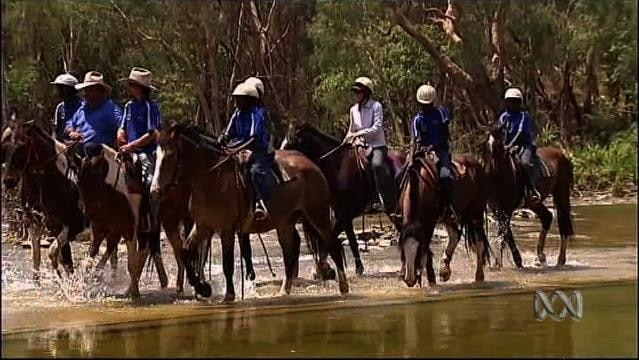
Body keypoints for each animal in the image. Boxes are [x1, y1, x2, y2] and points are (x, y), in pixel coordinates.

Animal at [151, 124, 350, 300]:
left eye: (170, 155)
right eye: (156, 155)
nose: (155, 190)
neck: (211, 178)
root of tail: (311, 165)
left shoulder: (226, 230)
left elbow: (227, 264)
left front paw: (229, 295)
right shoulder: (203, 226)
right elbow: (185, 252)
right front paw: (203, 288)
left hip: (317, 215)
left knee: (332, 245)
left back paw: (344, 287)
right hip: (285, 222)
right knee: (290, 251)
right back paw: (284, 291)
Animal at [282, 122, 408, 274]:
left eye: (290, 142)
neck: (337, 167)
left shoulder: (343, 216)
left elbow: (327, 240)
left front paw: (322, 269)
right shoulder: (344, 216)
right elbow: (352, 241)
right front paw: (358, 268)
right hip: (393, 210)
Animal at [398, 151, 492, 286]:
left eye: (417, 251)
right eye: (402, 250)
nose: (409, 279)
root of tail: (477, 164)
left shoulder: (430, 223)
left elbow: (425, 251)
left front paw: (428, 280)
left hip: (476, 214)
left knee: (479, 244)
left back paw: (479, 276)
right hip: (450, 218)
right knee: (455, 235)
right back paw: (444, 271)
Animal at [482, 126, 576, 268]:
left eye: (498, 146)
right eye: (484, 147)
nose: (487, 170)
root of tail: (561, 154)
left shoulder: (507, 209)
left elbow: (504, 233)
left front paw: (506, 263)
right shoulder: (497, 209)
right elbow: (506, 234)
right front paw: (506, 262)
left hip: (561, 194)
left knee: (563, 224)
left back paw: (560, 260)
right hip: (534, 202)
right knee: (547, 217)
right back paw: (541, 257)